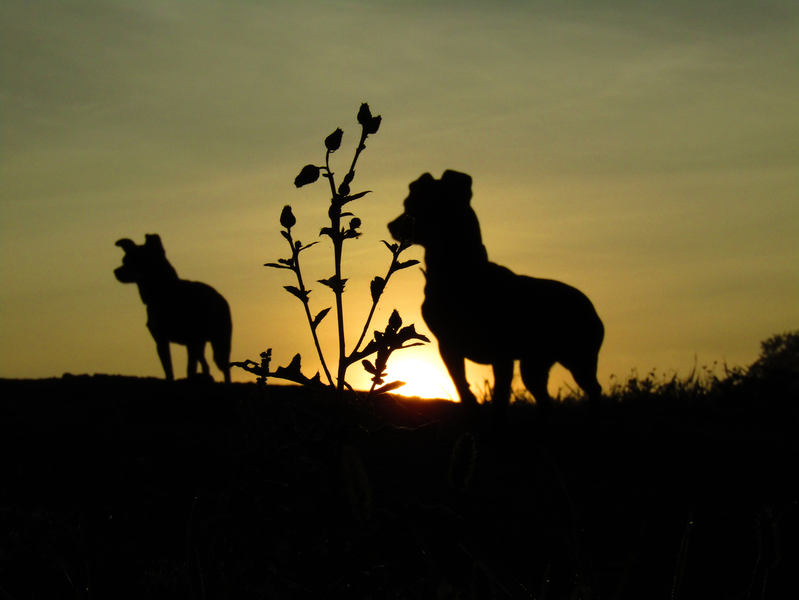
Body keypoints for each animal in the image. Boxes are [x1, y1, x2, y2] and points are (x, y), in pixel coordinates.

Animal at [115, 234, 234, 384]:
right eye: (124, 260)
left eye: (137, 260)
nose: (115, 272)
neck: (165, 294)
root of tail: (221, 298)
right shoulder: (161, 341)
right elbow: (168, 370)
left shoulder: (191, 341)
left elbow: (189, 369)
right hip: (201, 344)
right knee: (205, 364)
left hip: (219, 342)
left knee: (225, 368)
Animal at [390, 170, 608, 426]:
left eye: (411, 205)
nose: (391, 225)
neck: (459, 272)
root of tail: (590, 306)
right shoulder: (449, 348)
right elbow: (463, 389)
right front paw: (473, 418)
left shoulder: (502, 356)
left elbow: (500, 399)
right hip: (534, 366)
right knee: (546, 403)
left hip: (579, 360)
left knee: (594, 389)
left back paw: (592, 420)